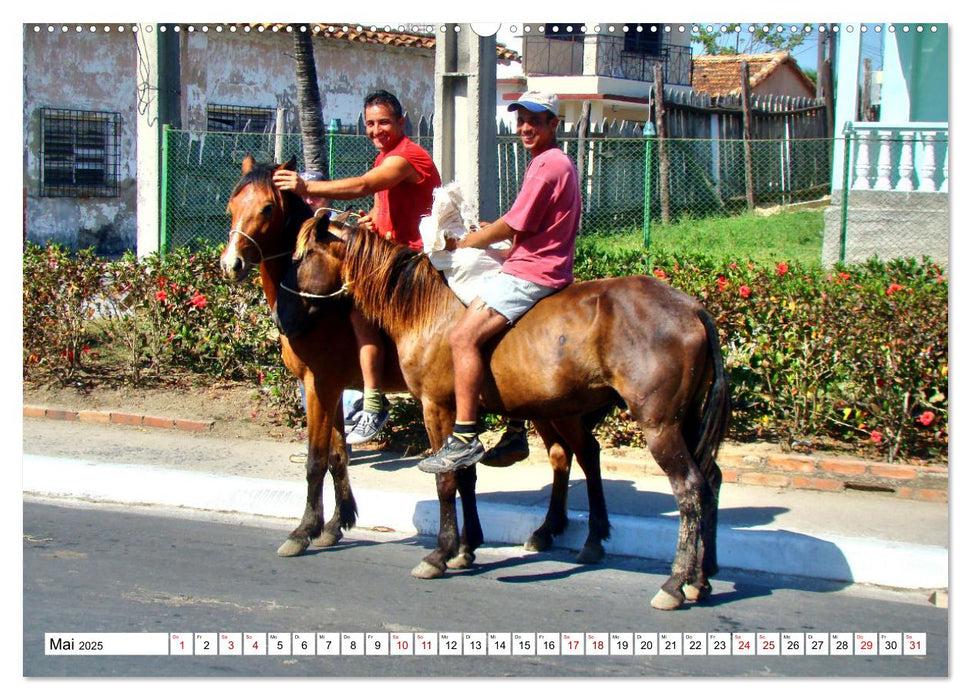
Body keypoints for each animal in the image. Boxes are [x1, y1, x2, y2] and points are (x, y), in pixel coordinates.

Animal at [221, 156, 616, 568]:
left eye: (267, 208)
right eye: (232, 206)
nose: (231, 263)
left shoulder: (321, 384)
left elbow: (318, 460)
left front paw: (303, 531)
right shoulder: (329, 387)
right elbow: (337, 457)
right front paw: (335, 524)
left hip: (559, 407)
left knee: (584, 453)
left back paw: (584, 532)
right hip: (545, 405)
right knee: (561, 455)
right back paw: (547, 527)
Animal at [288, 211, 728, 608]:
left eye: (302, 255)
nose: (289, 321)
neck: (424, 304)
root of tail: (692, 309)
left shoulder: (436, 406)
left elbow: (446, 480)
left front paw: (440, 553)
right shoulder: (461, 417)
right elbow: (464, 475)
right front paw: (466, 548)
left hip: (659, 425)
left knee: (689, 488)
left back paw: (675, 582)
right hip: (680, 420)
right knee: (707, 480)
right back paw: (700, 578)